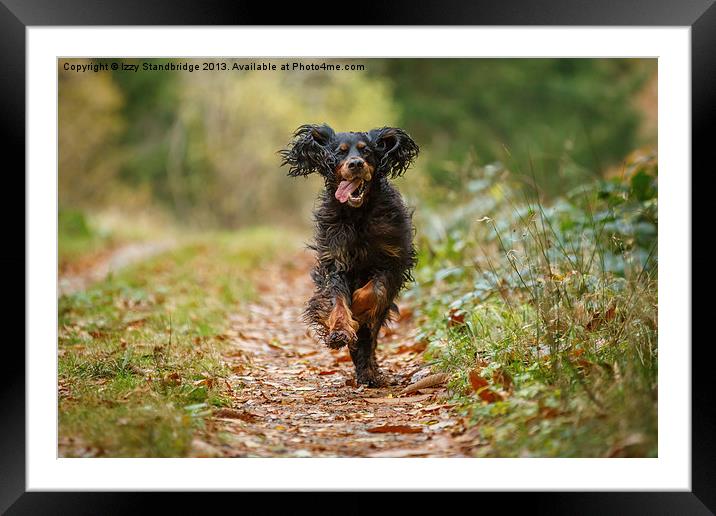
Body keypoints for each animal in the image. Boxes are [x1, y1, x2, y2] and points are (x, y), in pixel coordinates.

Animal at [282, 125, 420, 388]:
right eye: (340, 152)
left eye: (367, 151)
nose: (355, 164)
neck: (358, 214)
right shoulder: (336, 262)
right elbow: (336, 299)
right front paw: (340, 329)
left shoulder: (392, 261)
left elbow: (374, 291)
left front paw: (357, 307)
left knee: (371, 336)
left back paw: (369, 372)